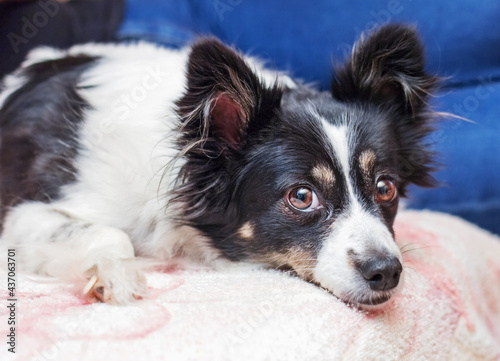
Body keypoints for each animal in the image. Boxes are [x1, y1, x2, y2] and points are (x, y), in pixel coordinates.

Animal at [0, 23, 438, 306]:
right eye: (301, 196)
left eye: (385, 188)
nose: (388, 272)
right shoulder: (24, 214)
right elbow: (108, 232)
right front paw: (119, 275)